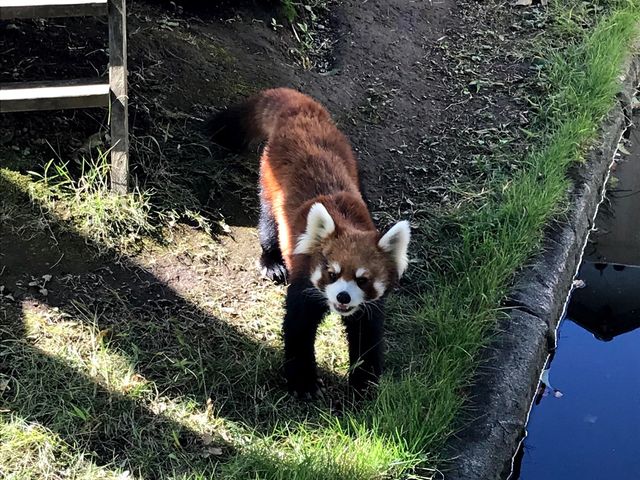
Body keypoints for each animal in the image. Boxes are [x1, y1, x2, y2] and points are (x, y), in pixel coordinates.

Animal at [208, 87, 412, 398]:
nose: (343, 297)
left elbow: (366, 336)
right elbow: (298, 329)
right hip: (269, 185)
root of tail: (302, 113)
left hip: (351, 161)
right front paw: (303, 382)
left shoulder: (369, 307)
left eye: (363, 280)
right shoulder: (304, 284)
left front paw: (364, 385)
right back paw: (271, 261)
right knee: (268, 224)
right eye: (332, 274)